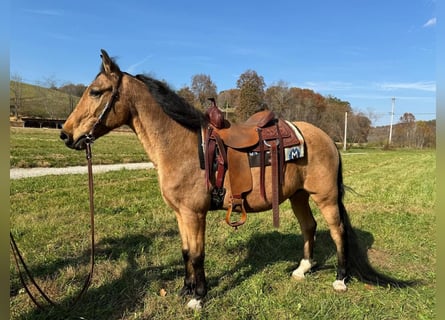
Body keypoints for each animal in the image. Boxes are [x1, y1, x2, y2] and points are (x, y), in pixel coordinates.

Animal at [59, 48, 410, 308]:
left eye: (96, 91)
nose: (65, 134)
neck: (183, 145)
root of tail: (325, 137)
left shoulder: (194, 214)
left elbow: (197, 254)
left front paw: (198, 298)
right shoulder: (180, 214)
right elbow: (186, 252)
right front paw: (186, 290)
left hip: (325, 197)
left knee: (337, 232)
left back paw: (340, 278)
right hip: (297, 195)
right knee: (309, 227)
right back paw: (302, 269)